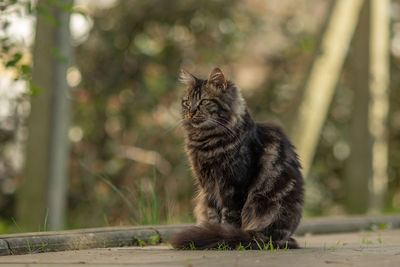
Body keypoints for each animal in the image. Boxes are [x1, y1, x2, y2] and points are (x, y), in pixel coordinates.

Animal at [170, 67, 304, 251]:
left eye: (204, 102)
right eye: (187, 102)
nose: (190, 112)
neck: (206, 142)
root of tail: (283, 238)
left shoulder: (233, 184)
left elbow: (230, 217)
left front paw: (222, 237)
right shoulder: (208, 186)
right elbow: (213, 215)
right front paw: (213, 232)